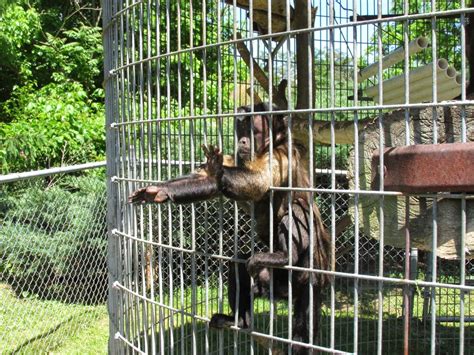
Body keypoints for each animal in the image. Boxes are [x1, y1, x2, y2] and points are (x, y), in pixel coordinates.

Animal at [130, 102, 330, 354]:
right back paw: (239, 320)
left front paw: (218, 171)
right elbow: (210, 183)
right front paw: (161, 191)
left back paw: (286, 256)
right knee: (241, 265)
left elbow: (259, 182)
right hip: (276, 284)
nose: (243, 141)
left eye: (254, 131)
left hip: (301, 274)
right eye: (241, 130)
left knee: (298, 207)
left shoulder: (281, 155)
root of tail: (316, 278)